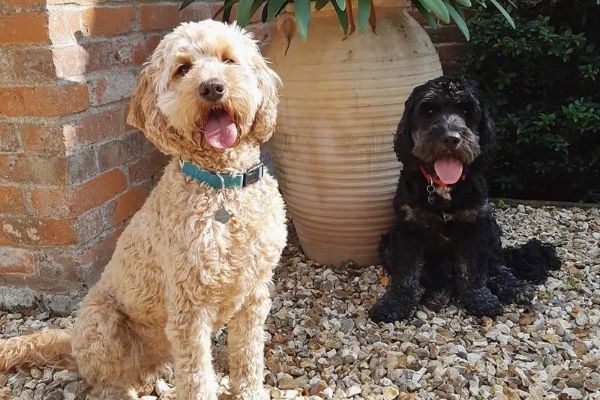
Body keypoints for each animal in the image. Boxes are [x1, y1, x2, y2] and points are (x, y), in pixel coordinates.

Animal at [0, 19, 286, 400]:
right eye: (183, 69)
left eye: (229, 60)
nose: (212, 87)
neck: (222, 186)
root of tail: (71, 343)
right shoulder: (189, 310)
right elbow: (197, 378)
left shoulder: (254, 295)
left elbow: (249, 357)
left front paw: (250, 392)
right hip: (102, 321)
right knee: (107, 381)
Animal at [368, 77, 560, 322]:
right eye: (428, 110)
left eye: (467, 111)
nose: (451, 138)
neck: (444, 186)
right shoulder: (408, 228)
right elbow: (406, 273)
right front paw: (394, 304)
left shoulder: (475, 225)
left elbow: (474, 270)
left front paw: (480, 300)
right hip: (387, 243)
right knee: (437, 276)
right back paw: (438, 293)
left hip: (492, 231)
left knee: (496, 266)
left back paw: (514, 287)